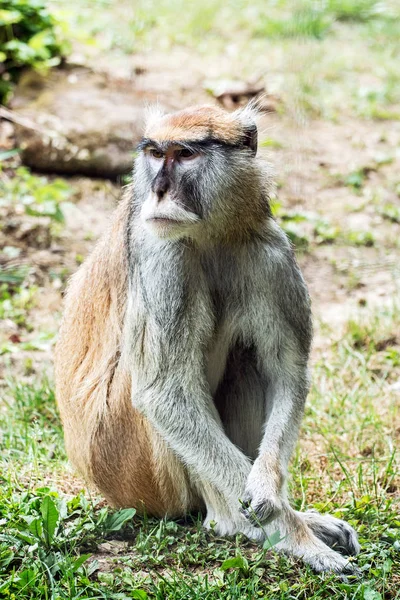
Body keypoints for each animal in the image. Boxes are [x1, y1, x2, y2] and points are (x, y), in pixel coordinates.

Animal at [55, 103, 360, 572]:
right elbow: (166, 395)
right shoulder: (164, 256)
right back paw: (231, 521)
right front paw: (299, 538)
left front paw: (270, 492)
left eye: (184, 154)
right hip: (135, 466)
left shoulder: (269, 250)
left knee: (247, 356)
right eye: (156, 153)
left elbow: (286, 371)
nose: (160, 190)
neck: (212, 232)